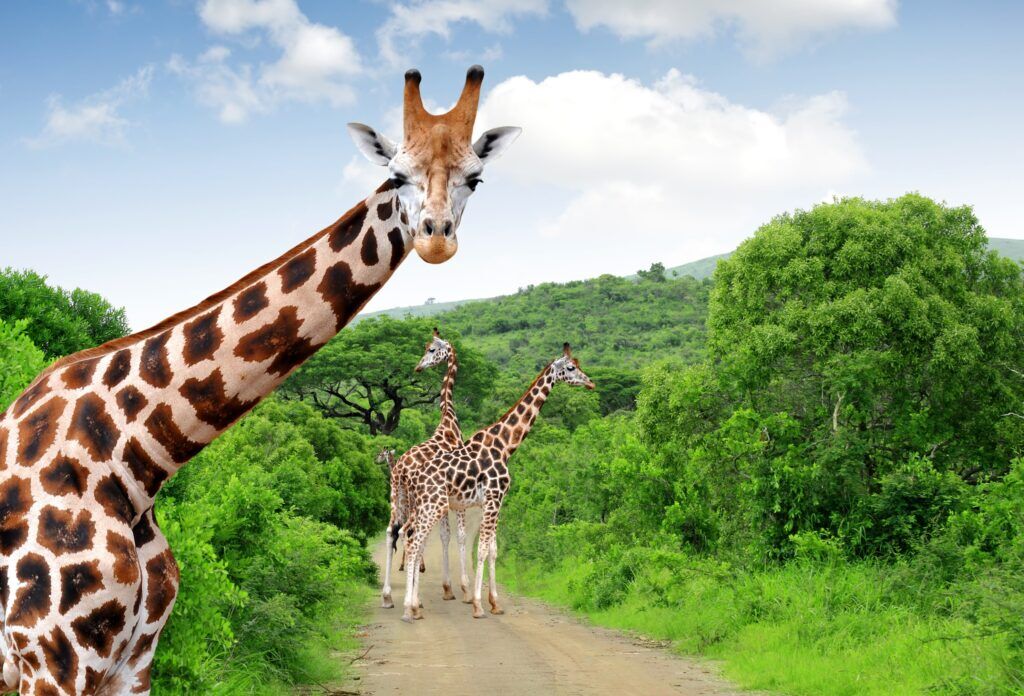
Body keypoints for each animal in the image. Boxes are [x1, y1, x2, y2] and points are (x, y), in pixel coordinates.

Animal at [380, 329, 469, 609]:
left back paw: (388, 596)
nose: (418, 367)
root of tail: (399, 470)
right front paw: (461, 589)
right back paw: (413, 599)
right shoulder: (457, 498)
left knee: (392, 532)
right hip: (414, 501)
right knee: (409, 533)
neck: (449, 424)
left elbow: (444, 535)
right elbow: (456, 535)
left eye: (431, 349)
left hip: (396, 498)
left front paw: (448, 588)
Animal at [400, 344, 594, 623]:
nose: (590, 383)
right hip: (432, 507)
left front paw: (495, 603)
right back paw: (409, 608)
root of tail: (411, 475)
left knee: (410, 539)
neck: (505, 445)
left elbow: (492, 550)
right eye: (570, 368)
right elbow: (481, 549)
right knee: (414, 543)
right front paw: (478, 605)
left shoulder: (494, 501)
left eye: (578, 364)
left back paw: (413, 606)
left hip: (425, 507)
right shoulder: (493, 498)